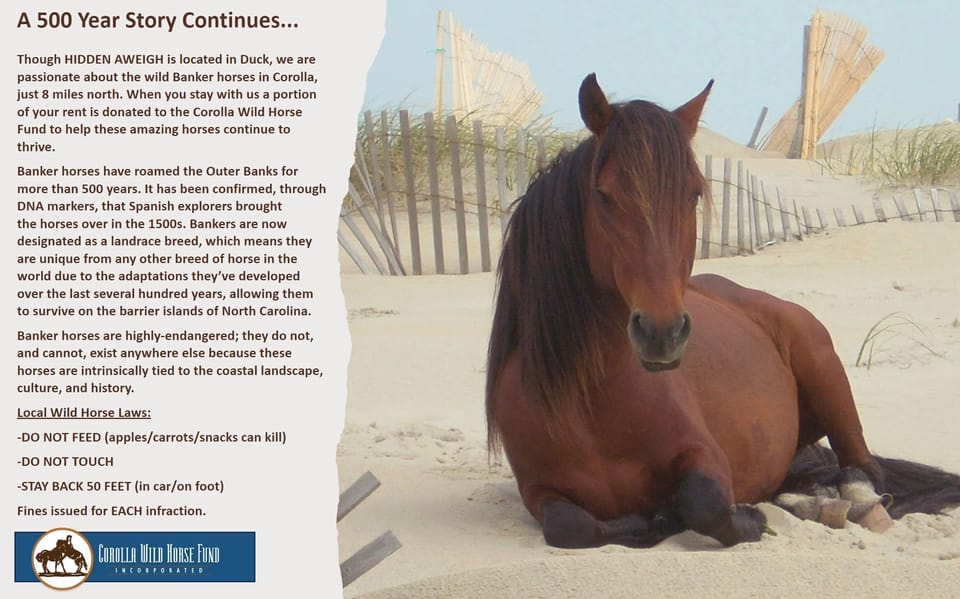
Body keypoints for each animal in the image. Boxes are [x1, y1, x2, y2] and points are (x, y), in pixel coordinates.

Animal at [485, 73, 960, 548]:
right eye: (603, 195)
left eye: (694, 194)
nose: (661, 332)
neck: (598, 406)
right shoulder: (537, 490)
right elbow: (570, 525)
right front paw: (646, 522)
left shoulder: (705, 454)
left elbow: (705, 504)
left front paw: (740, 518)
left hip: (825, 372)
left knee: (862, 470)